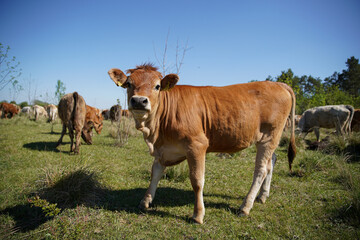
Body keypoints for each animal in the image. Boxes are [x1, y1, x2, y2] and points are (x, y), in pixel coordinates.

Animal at [109, 64, 296, 225]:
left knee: (261, 170)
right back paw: (262, 196)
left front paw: (198, 215)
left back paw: (245, 206)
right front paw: (145, 201)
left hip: (269, 136)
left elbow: (197, 180)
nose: (139, 101)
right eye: (128, 84)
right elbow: (155, 173)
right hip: (269, 140)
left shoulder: (197, 145)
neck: (155, 134)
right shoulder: (164, 150)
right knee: (271, 162)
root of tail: (278, 84)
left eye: (157, 86)